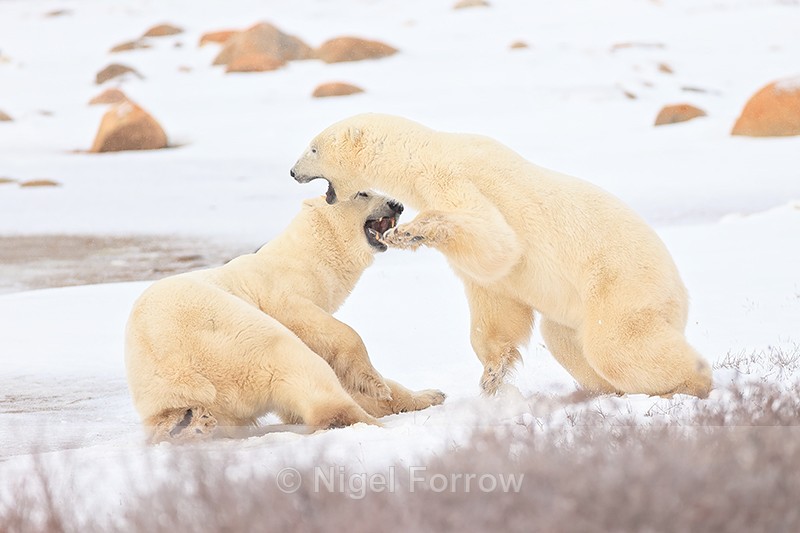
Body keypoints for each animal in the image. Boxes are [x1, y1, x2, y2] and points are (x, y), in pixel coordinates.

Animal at [125, 191, 445, 443]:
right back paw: (370, 426)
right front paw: (376, 384)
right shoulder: (278, 292)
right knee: (293, 360)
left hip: (163, 390)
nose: (396, 204)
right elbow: (324, 328)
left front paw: (429, 395)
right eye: (362, 193)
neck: (306, 257)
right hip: (226, 330)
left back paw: (189, 423)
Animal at [290, 113, 713, 398]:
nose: (292, 172)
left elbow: (497, 242)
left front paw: (409, 232)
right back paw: (606, 390)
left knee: (616, 345)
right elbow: (495, 294)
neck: (428, 150)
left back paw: (694, 380)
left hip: (621, 283)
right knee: (565, 339)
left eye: (313, 147)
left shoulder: (451, 177)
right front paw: (492, 375)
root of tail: (681, 294)